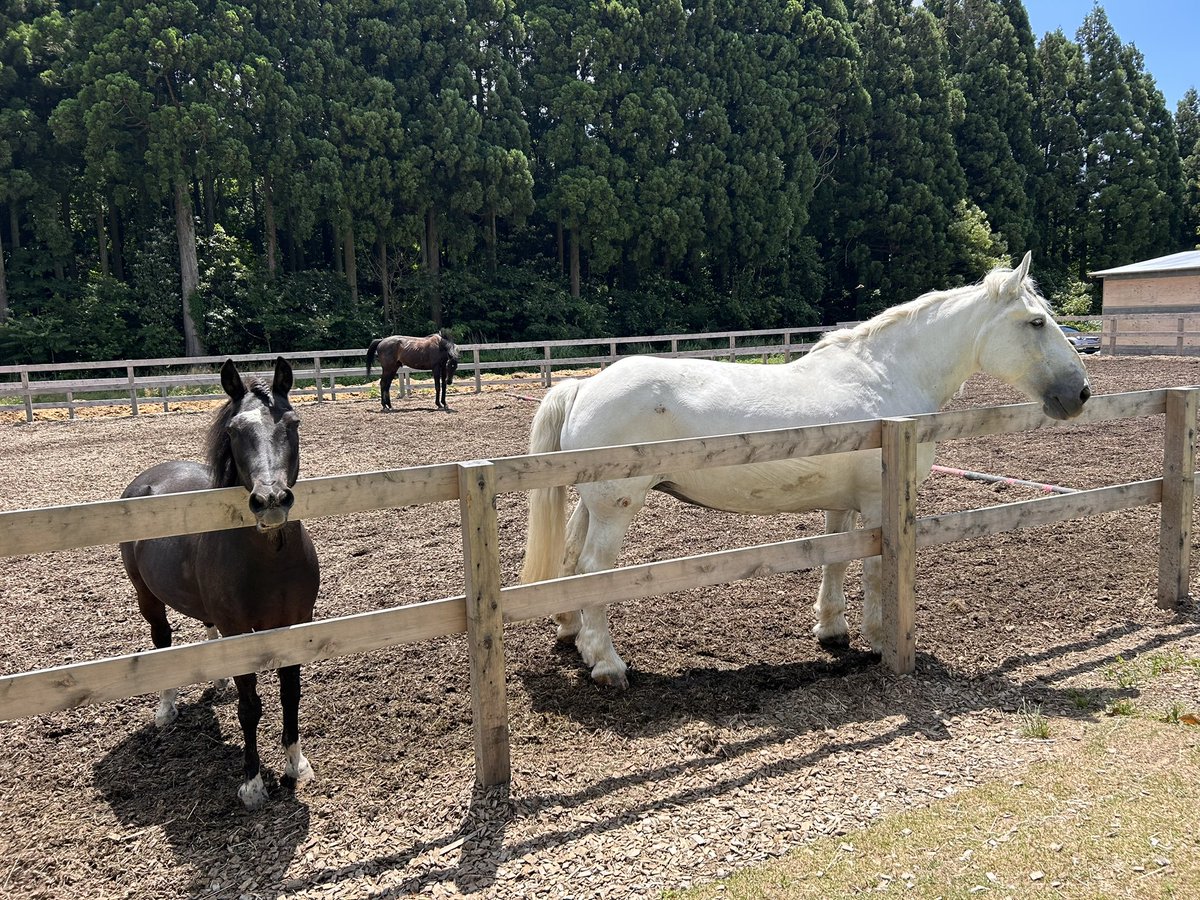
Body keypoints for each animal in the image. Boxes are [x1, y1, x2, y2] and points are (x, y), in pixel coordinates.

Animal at [119, 357, 320, 810]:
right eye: (233, 430)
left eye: (293, 423)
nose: (271, 500)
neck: (270, 560)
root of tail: (148, 478)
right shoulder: (239, 632)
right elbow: (250, 707)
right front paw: (252, 784)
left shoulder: (295, 624)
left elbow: (291, 693)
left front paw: (295, 765)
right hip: (147, 597)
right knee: (162, 641)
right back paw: (166, 709)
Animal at [519, 253, 1091, 689]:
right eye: (1036, 322)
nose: (1080, 393)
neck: (885, 376)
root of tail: (585, 385)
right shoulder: (880, 503)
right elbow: (875, 568)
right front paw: (879, 637)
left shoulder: (842, 502)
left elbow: (836, 561)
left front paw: (833, 630)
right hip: (617, 508)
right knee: (594, 569)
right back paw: (607, 664)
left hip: (594, 503)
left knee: (570, 561)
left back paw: (572, 635)